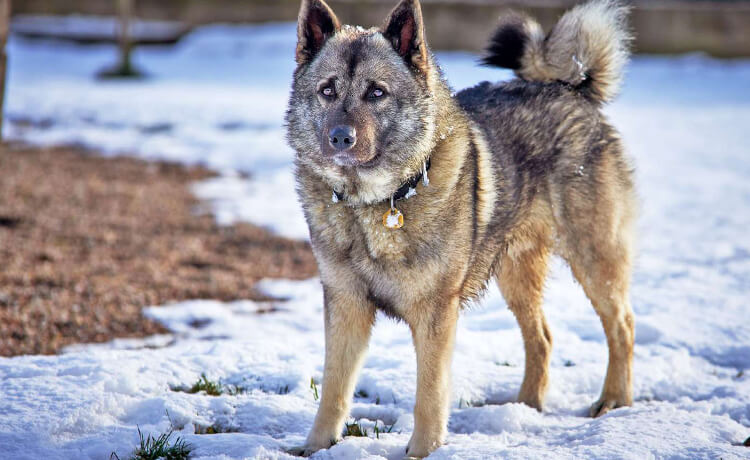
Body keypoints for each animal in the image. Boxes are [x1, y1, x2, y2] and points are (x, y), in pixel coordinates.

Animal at [286, 0, 636, 456]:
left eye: (376, 92)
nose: (340, 138)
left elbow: (430, 393)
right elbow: (334, 387)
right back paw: (526, 406)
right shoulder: (346, 304)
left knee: (622, 327)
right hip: (516, 273)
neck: (375, 203)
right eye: (327, 90)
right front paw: (316, 447)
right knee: (541, 337)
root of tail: (567, 89)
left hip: (594, 258)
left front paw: (424, 451)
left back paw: (614, 400)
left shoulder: (436, 313)